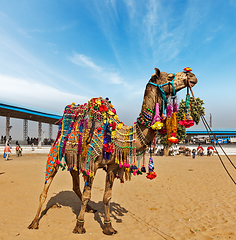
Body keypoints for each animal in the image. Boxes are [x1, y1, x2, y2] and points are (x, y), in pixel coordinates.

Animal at [27, 67, 197, 234]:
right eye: (170, 76)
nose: (191, 75)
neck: (117, 137)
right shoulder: (92, 164)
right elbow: (88, 194)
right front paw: (79, 226)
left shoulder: (112, 166)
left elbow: (107, 196)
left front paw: (108, 227)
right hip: (55, 155)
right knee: (46, 189)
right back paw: (34, 222)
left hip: (74, 163)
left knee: (75, 186)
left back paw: (90, 209)